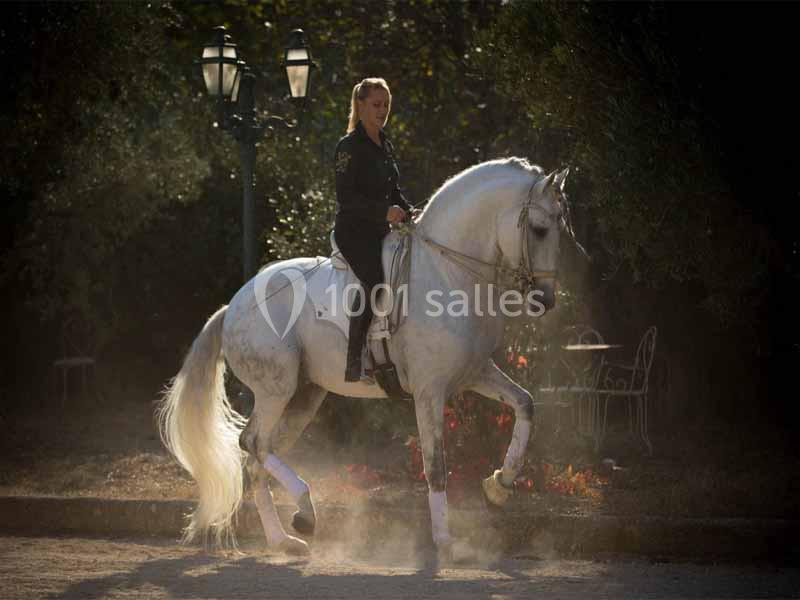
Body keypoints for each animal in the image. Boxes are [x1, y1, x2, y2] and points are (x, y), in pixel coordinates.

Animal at [158, 158, 569, 559]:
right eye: (539, 229)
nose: (545, 300)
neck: (447, 274)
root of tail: (233, 305)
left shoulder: (476, 373)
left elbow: (525, 404)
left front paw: (499, 485)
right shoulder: (429, 391)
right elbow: (436, 466)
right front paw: (445, 541)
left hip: (304, 396)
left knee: (258, 457)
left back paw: (284, 539)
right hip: (276, 390)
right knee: (254, 444)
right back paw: (305, 510)